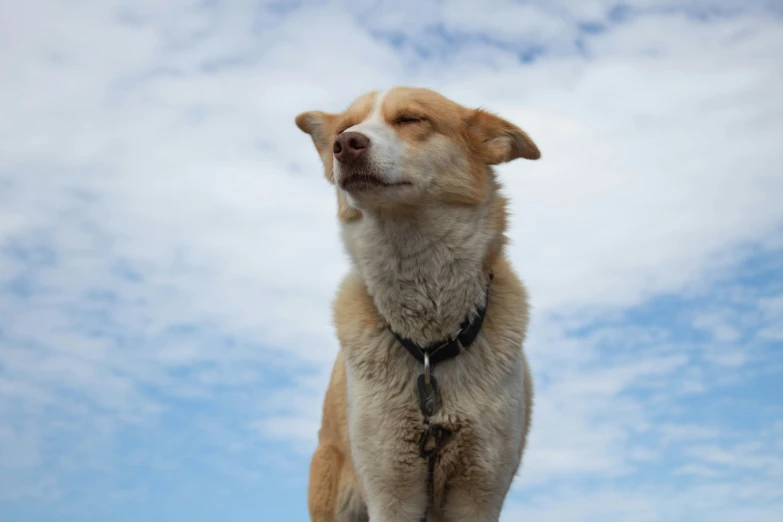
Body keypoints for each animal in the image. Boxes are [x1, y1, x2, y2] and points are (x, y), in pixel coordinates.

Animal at [294, 86, 540, 520]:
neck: (429, 348)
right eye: (344, 128)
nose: (346, 144)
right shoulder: (391, 488)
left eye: (411, 119)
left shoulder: (478, 490)